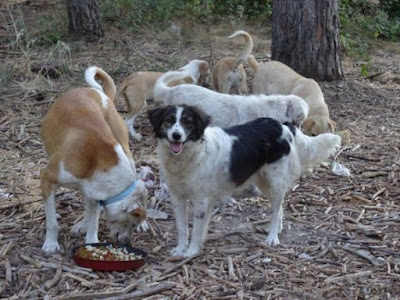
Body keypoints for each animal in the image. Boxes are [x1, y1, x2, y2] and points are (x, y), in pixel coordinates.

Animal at [40, 66, 148, 253]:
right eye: (130, 223)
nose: (127, 243)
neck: (97, 156)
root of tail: (101, 94)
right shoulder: (47, 180)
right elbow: (52, 222)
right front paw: (51, 243)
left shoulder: (95, 192)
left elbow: (94, 222)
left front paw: (91, 242)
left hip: (126, 151)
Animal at [148, 104, 342, 256]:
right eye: (169, 121)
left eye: (187, 122)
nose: (176, 135)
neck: (191, 155)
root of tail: (282, 126)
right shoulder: (177, 198)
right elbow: (182, 228)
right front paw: (181, 249)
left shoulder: (201, 200)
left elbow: (195, 229)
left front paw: (191, 252)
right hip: (264, 183)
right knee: (278, 210)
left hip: (275, 182)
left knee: (277, 209)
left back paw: (272, 237)